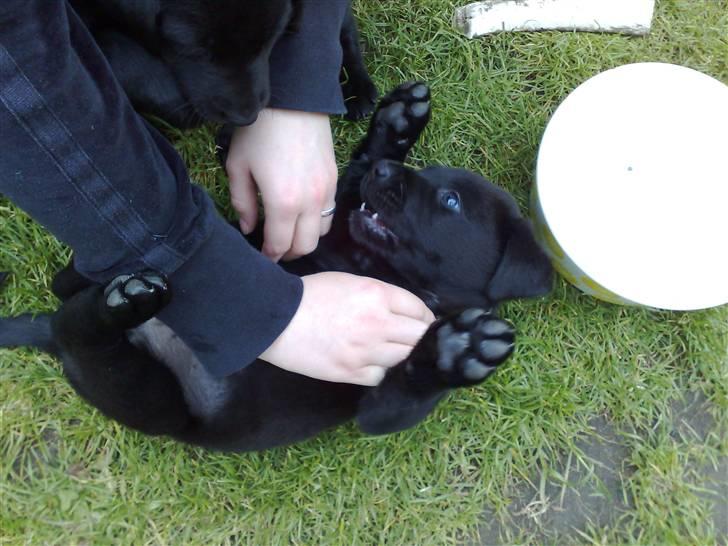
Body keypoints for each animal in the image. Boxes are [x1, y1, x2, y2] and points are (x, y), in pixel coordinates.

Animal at [0, 84, 552, 450]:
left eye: (450, 201)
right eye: (428, 174)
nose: (386, 171)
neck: (368, 263)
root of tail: (48, 331)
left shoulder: (380, 408)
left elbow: (404, 390)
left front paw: (460, 350)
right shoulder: (304, 238)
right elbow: (343, 189)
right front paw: (395, 127)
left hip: (148, 397)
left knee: (81, 331)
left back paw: (126, 299)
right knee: (71, 289)